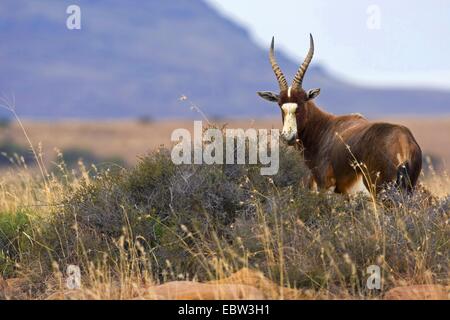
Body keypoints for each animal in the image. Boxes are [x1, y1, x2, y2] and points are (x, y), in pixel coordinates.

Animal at [256, 35, 422, 195]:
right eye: (280, 105)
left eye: (301, 103)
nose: (288, 136)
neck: (324, 128)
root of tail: (404, 142)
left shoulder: (326, 187)